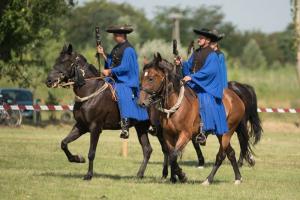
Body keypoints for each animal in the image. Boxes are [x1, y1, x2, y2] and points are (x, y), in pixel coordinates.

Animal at [45, 44, 154, 180]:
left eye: (65, 62)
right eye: (56, 60)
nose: (49, 81)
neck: (90, 91)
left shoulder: (95, 127)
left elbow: (91, 152)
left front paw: (88, 175)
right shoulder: (81, 126)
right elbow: (64, 143)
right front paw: (77, 159)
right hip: (141, 127)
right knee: (147, 149)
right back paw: (139, 175)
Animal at [138, 53, 253, 184]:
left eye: (151, 78)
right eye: (142, 77)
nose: (141, 102)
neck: (175, 105)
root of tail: (236, 97)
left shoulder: (185, 134)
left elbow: (173, 155)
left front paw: (182, 176)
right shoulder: (168, 135)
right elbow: (171, 154)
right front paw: (175, 177)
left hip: (227, 132)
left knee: (221, 155)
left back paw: (208, 179)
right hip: (221, 133)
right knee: (231, 153)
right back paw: (238, 177)